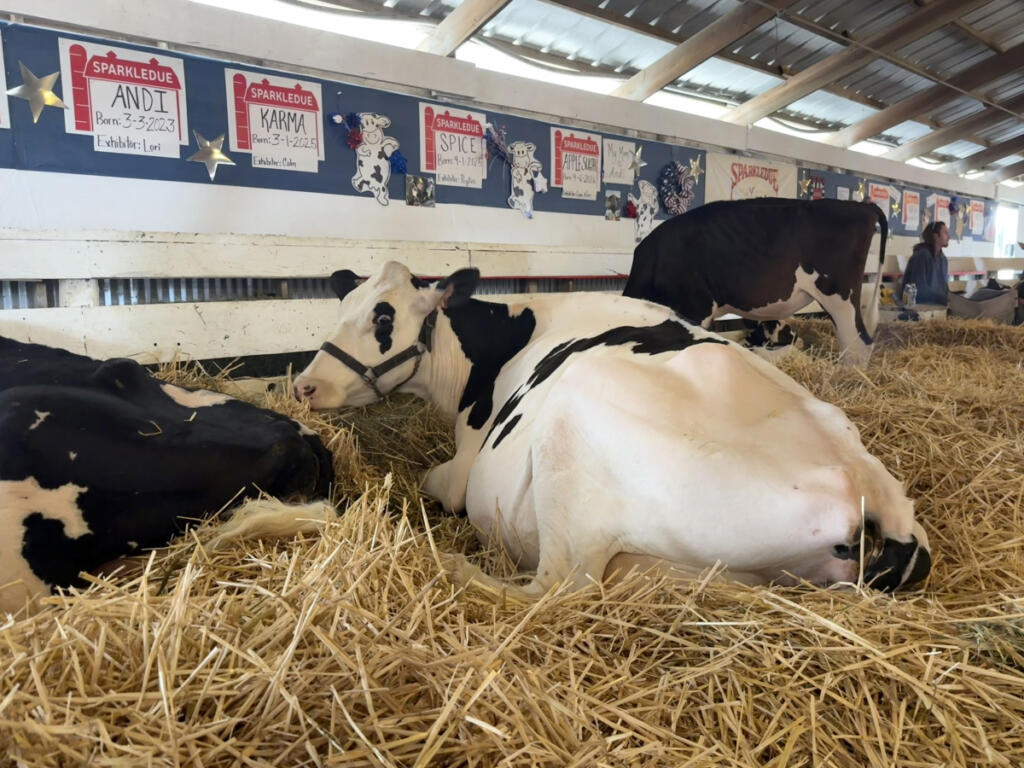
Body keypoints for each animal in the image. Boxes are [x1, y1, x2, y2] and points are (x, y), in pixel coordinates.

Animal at [292, 260, 930, 599]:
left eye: (383, 317)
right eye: (343, 304)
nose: (305, 385)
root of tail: (861, 489)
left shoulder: (462, 468)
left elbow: (433, 481)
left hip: (569, 453)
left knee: (554, 586)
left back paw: (455, 567)